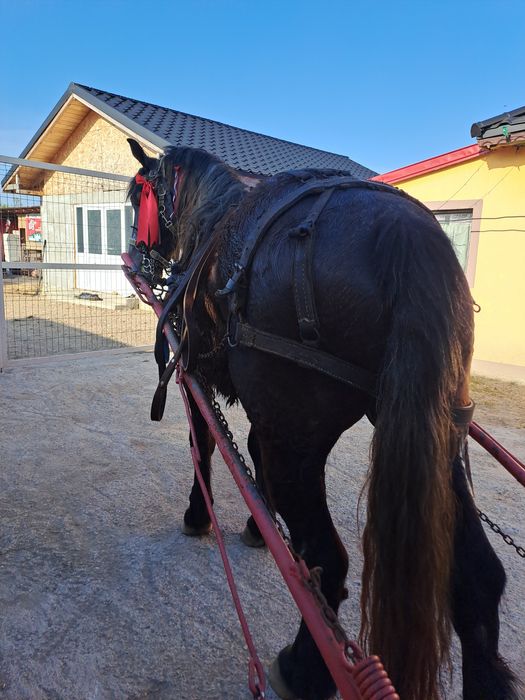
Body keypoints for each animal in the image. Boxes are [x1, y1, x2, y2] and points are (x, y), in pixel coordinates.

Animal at [126, 138, 520, 700]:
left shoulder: (195, 376)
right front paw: (257, 523)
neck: (213, 223)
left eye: (137, 194)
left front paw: (199, 514)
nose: (138, 251)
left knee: (328, 563)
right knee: (479, 580)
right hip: (440, 439)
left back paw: (303, 668)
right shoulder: (265, 415)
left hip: (299, 442)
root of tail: (404, 235)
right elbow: (253, 459)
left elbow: (204, 446)